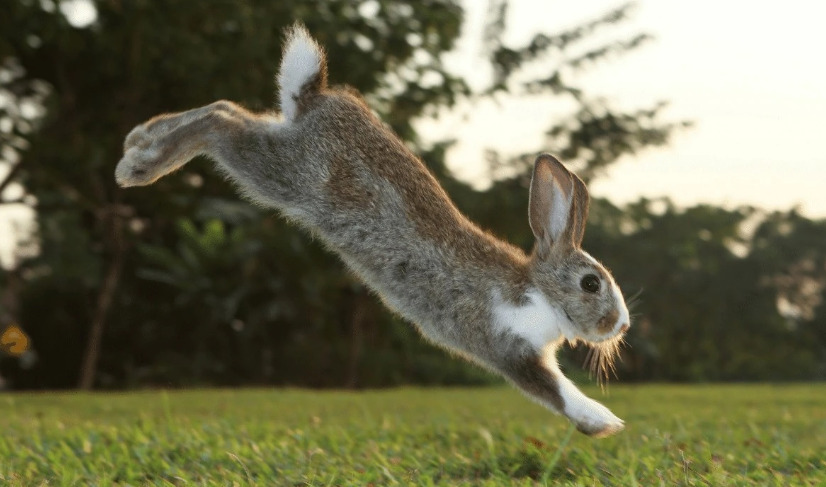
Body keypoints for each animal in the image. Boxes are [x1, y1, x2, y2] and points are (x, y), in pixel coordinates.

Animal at [114, 23, 632, 438]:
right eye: (591, 283)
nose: (621, 325)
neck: (537, 290)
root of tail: (317, 98)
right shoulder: (507, 346)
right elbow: (555, 390)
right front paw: (604, 422)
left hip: (277, 149)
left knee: (228, 109)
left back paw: (139, 139)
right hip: (281, 173)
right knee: (220, 121)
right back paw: (137, 165)